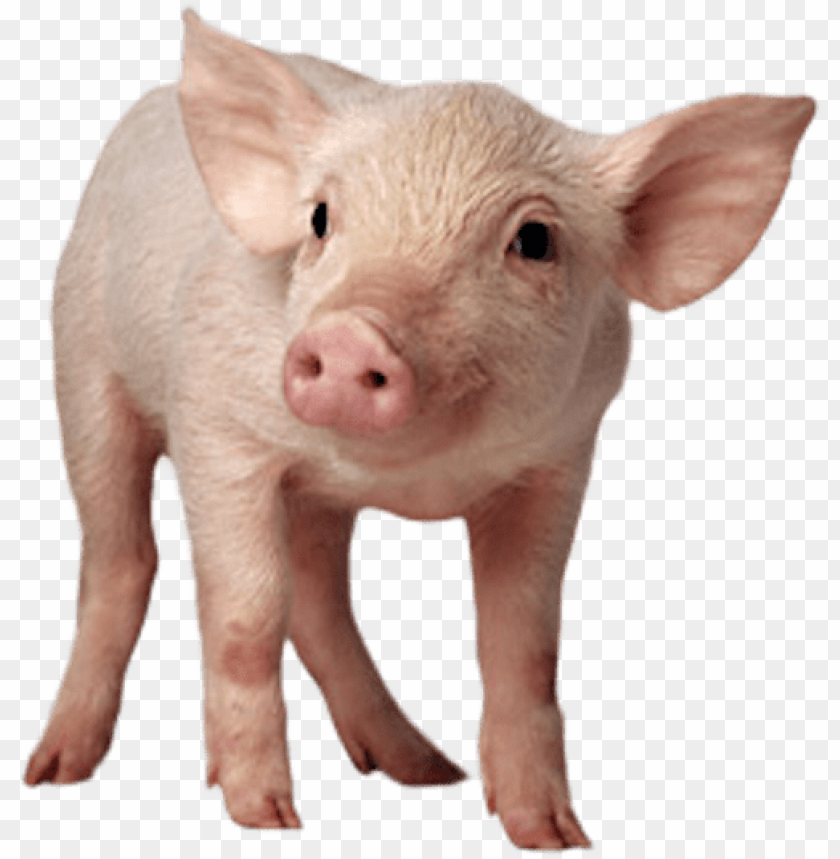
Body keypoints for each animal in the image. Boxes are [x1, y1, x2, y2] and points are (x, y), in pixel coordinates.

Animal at [24, 9, 814, 851]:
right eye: (320, 219)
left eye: (534, 239)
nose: (351, 335)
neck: (410, 478)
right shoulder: (216, 421)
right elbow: (247, 610)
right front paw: (266, 817)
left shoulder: (560, 457)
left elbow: (524, 638)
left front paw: (554, 833)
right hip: (80, 360)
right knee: (121, 553)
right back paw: (54, 769)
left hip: (308, 494)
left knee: (319, 595)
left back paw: (423, 768)